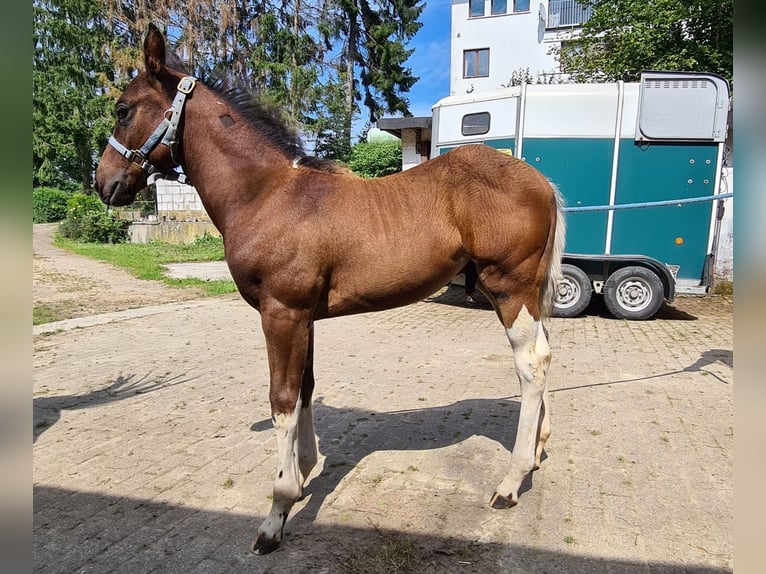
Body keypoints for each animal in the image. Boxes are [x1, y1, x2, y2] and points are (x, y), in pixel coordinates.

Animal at [95, 24, 566, 555]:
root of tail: (541, 181)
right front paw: (303, 473)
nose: (103, 182)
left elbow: (281, 400)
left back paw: (510, 483)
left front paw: (277, 512)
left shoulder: (281, 312)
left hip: (508, 287)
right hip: (526, 293)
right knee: (545, 356)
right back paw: (538, 449)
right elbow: (304, 388)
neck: (266, 193)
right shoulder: (302, 316)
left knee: (530, 365)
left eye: (123, 109)